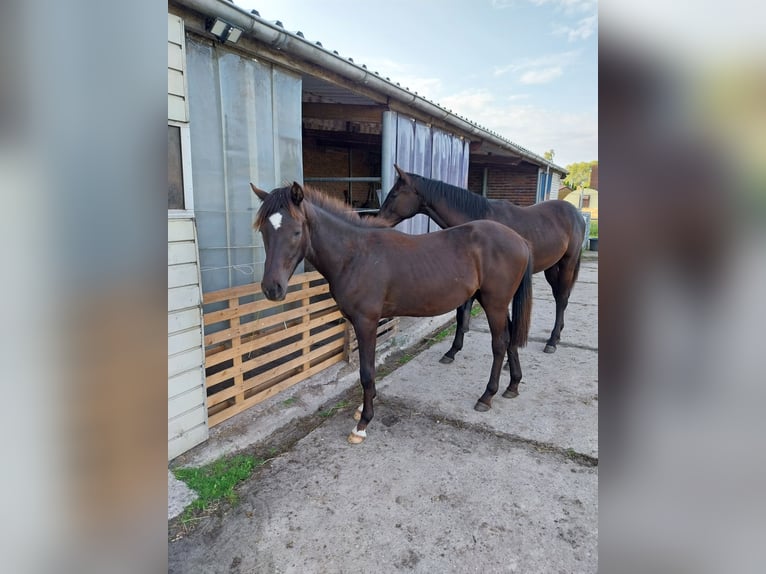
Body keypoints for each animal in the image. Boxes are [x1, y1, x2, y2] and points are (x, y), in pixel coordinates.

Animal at [252, 184, 536, 446]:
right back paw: (512, 386)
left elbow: (366, 372)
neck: (355, 256)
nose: (272, 288)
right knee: (510, 339)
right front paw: (363, 408)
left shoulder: (366, 322)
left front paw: (363, 423)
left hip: (494, 304)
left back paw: (486, 396)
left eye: (296, 231)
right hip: (496, 303)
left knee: (499, 344)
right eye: (264, 231)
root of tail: (521, 241)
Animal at [380, 164, 588, 360]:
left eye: (394, 194)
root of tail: (577, 214)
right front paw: (453, 350)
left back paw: (552, 341)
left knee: (562, 298)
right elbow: (461, 313)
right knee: (560, 296)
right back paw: (557, 335)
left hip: (568, 263)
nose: (378, 221)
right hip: (552, 267)